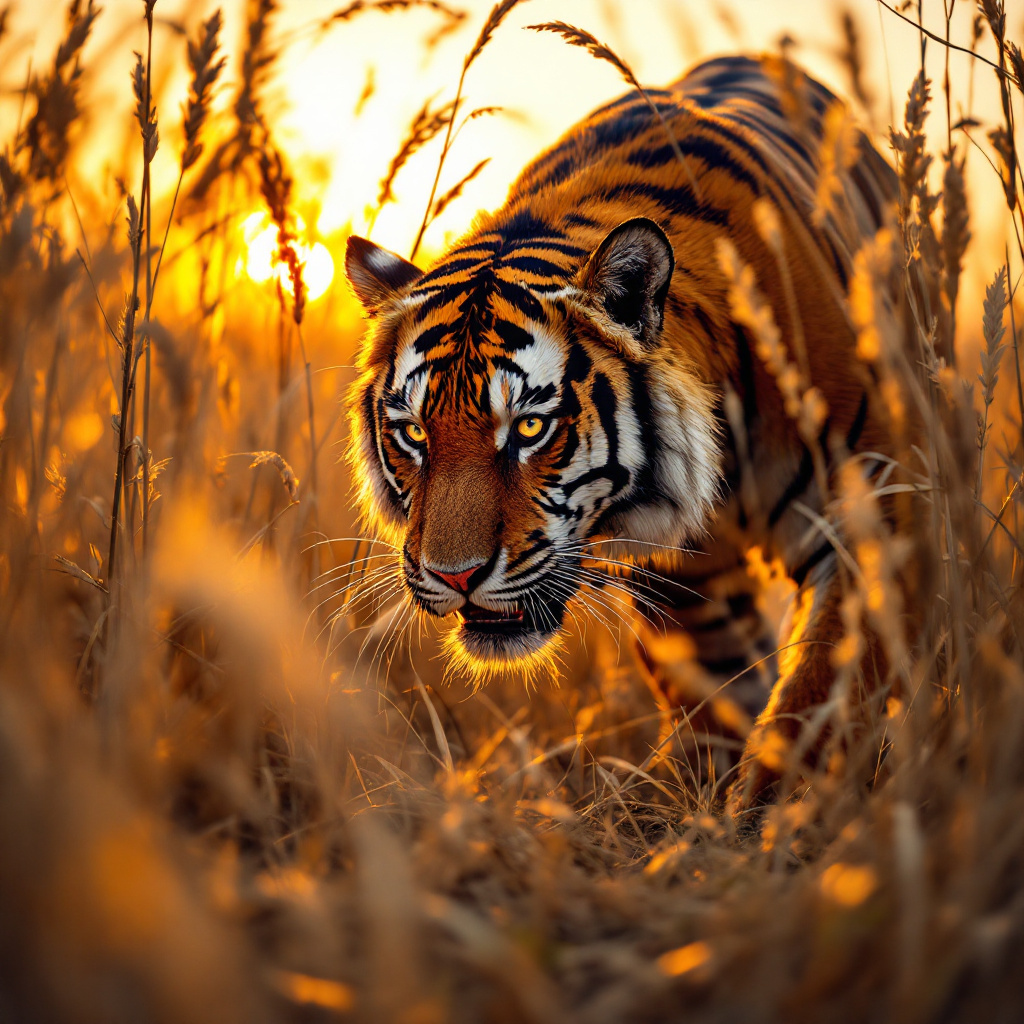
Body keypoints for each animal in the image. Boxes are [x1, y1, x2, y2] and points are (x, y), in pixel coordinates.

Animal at [343, 54, 913, 811]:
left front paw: (777, 822)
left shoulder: (872, 509)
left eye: (529, 427)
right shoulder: (679, 584)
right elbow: (719, 703)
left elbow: (819, 699)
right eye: (412, 434)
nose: (454, 576)